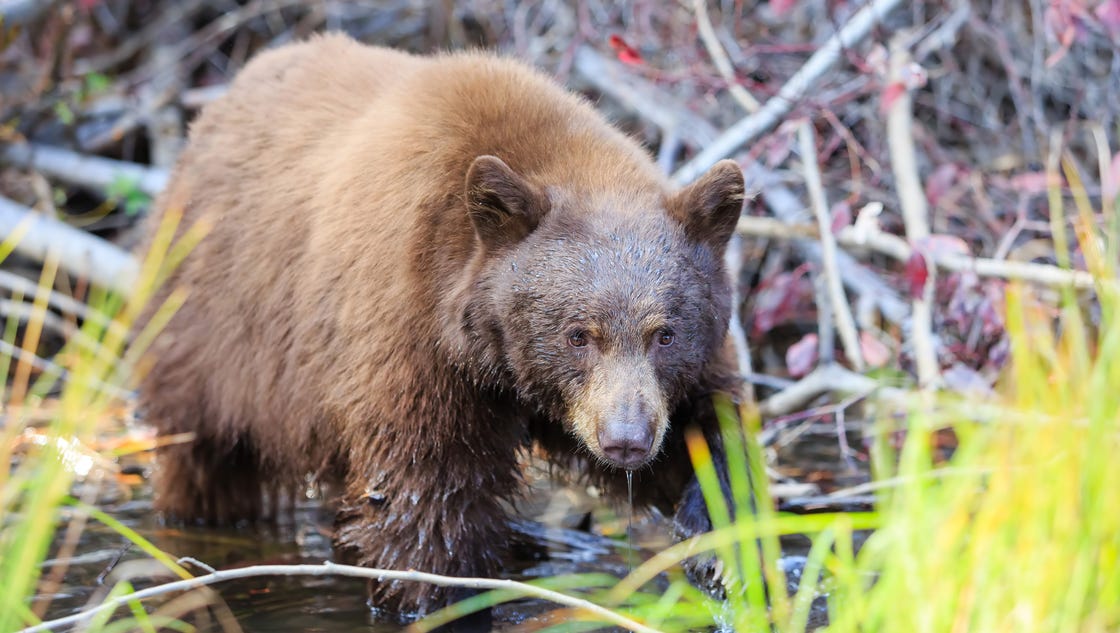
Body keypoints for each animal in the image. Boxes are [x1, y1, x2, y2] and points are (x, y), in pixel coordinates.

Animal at [137, 32, 743, 618]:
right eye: (578, 334)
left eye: (665, 334)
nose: (626, 440)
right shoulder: (411, 339)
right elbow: (426, 499)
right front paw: (438, 594)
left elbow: (710, 425)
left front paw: (713, 532)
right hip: (209, 334)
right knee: (204, 459)